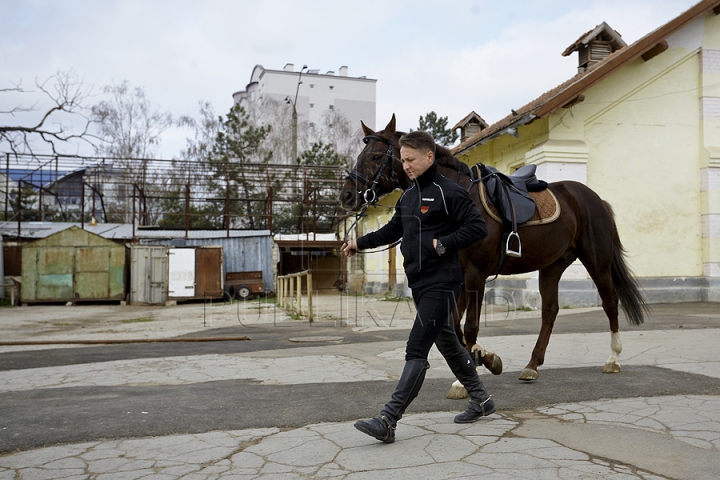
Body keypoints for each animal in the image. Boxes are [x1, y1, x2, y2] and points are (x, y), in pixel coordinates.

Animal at [338, 115, 648, 386]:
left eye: (376, 156)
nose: (347, 196)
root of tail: (594, 199)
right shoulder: (458, 278)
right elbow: (455, 326)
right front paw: (481, 360)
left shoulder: (475, 275)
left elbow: (469, 327)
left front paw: (468, 376)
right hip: (552, 266)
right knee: (550, 310)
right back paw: (532, 366)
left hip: (597, 261)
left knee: (609, 302)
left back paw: (613, 358)